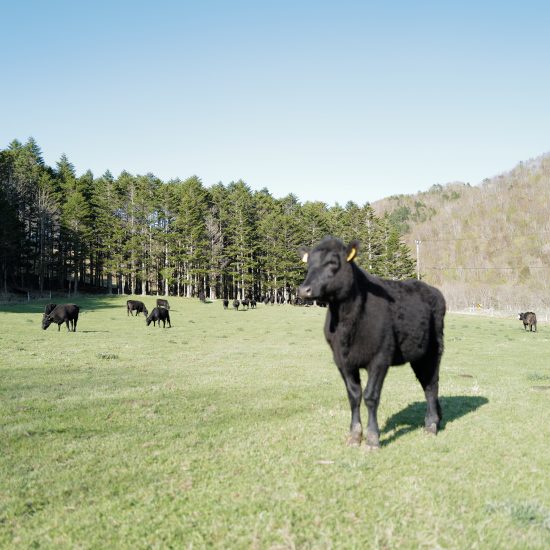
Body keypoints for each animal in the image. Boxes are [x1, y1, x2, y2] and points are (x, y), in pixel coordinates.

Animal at [298, 239, 448, 450]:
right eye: (308, 263)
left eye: (333, 262)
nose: (304, 290)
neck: (346, 324)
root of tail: (431, 289)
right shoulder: (342, 361)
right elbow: (354, 396)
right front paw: (354, 435)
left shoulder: (379, 358)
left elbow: (370, 396)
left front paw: (372, 438)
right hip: (418, 354)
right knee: (427, 384)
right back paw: (437, 418)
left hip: (433, 350)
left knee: (431, 384)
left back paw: (431, 424)